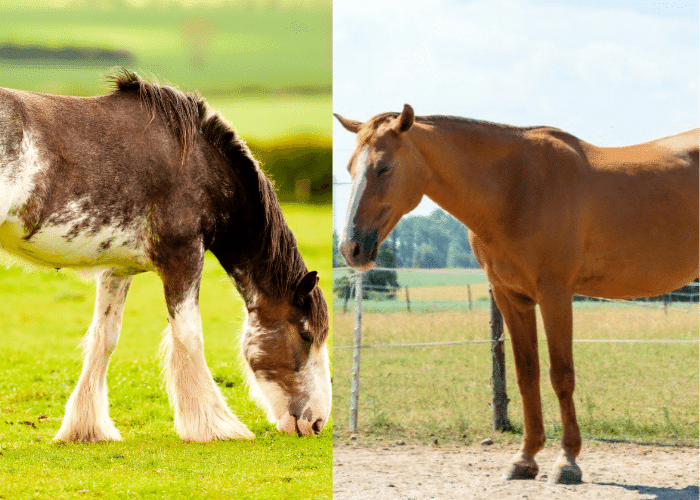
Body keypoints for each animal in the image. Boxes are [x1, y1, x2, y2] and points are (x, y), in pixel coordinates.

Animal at [0, 69, 332, 442]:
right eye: (305, 335)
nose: (317, 422)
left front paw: (87, 428)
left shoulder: (118, 270)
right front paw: (215, 426)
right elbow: (189, 335)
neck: (200, 167)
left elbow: (104, 338)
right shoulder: (184, 257)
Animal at [336, 105, 696, 484]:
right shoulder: (510, 297)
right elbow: (527, 375)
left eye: (384, 167)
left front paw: (567, 461)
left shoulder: (555, 294)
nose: (350, 248)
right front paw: (525, 458)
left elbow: (561, 375)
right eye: (350, 167)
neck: (515, 188)